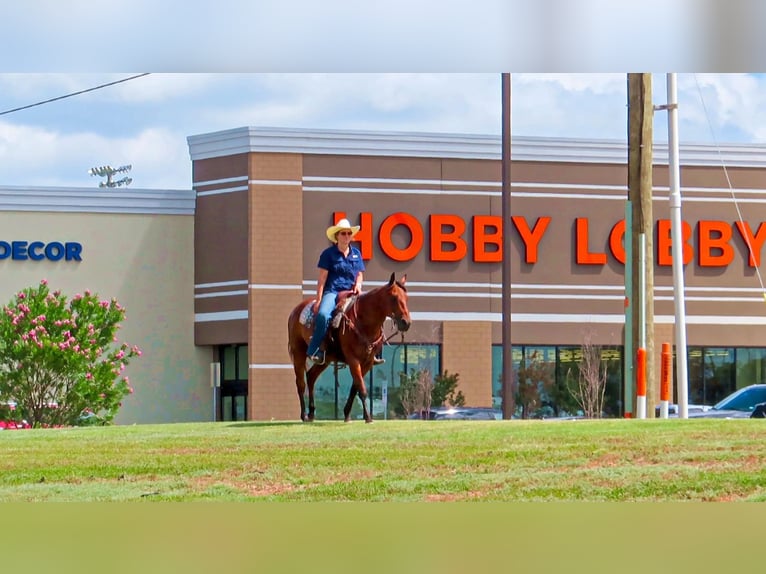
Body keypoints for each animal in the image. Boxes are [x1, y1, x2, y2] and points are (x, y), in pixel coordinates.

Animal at [286, 272, 412, 426]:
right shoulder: (353, 359)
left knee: (311, 376)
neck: (364, 322)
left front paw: (347, 415)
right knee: (301, 383)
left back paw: (311, 413)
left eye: (406, 298)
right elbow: (362, 389)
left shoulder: (368, 362)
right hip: (298, 353)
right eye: (394, 297)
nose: (406, 323)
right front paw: (368, 417)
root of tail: (295, 311)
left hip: (326, 359)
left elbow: (355, 387)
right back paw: (303, 415)